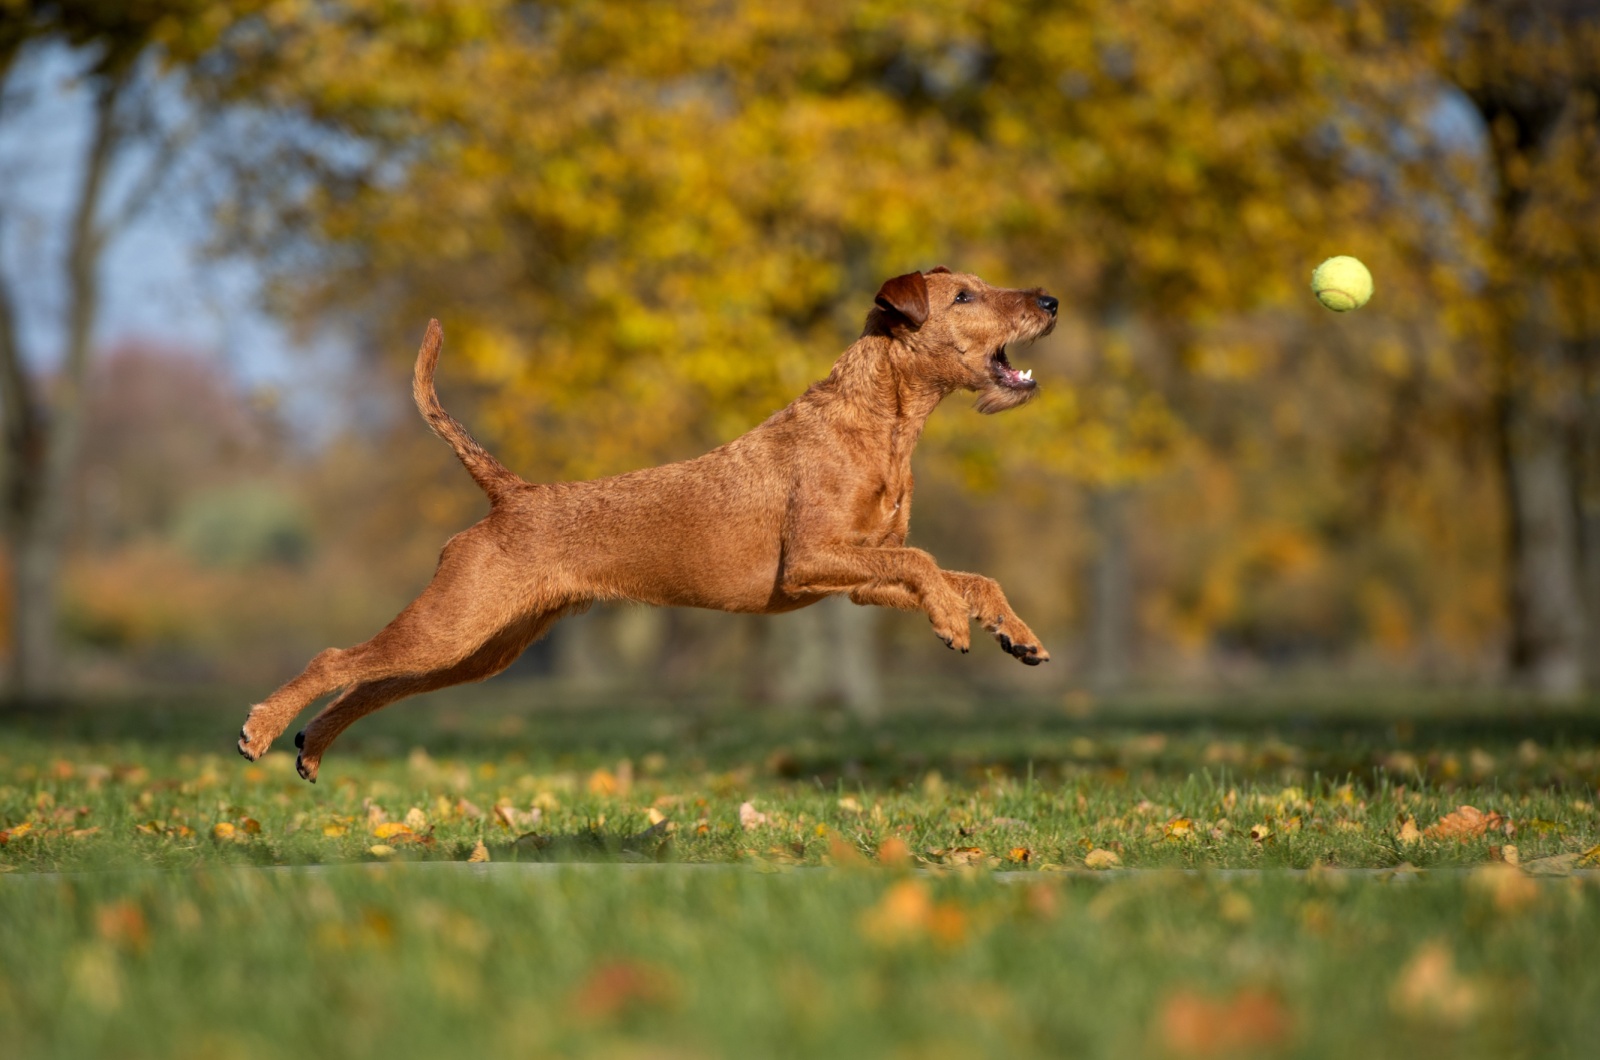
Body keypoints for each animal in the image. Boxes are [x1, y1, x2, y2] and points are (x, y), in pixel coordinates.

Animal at [236, 265, 1056, 781]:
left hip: (480, 647)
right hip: (454, 624)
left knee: (376, 683)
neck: (880, 420)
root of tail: (512, 494)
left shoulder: (856, 575)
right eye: (964, 295)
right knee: (338, 659)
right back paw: (263, 729)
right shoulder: (815, 558)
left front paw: (1015, 634)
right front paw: (950, 623)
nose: (1049, 301)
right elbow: (926, 565)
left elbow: (968, 574)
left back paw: (311, 747)